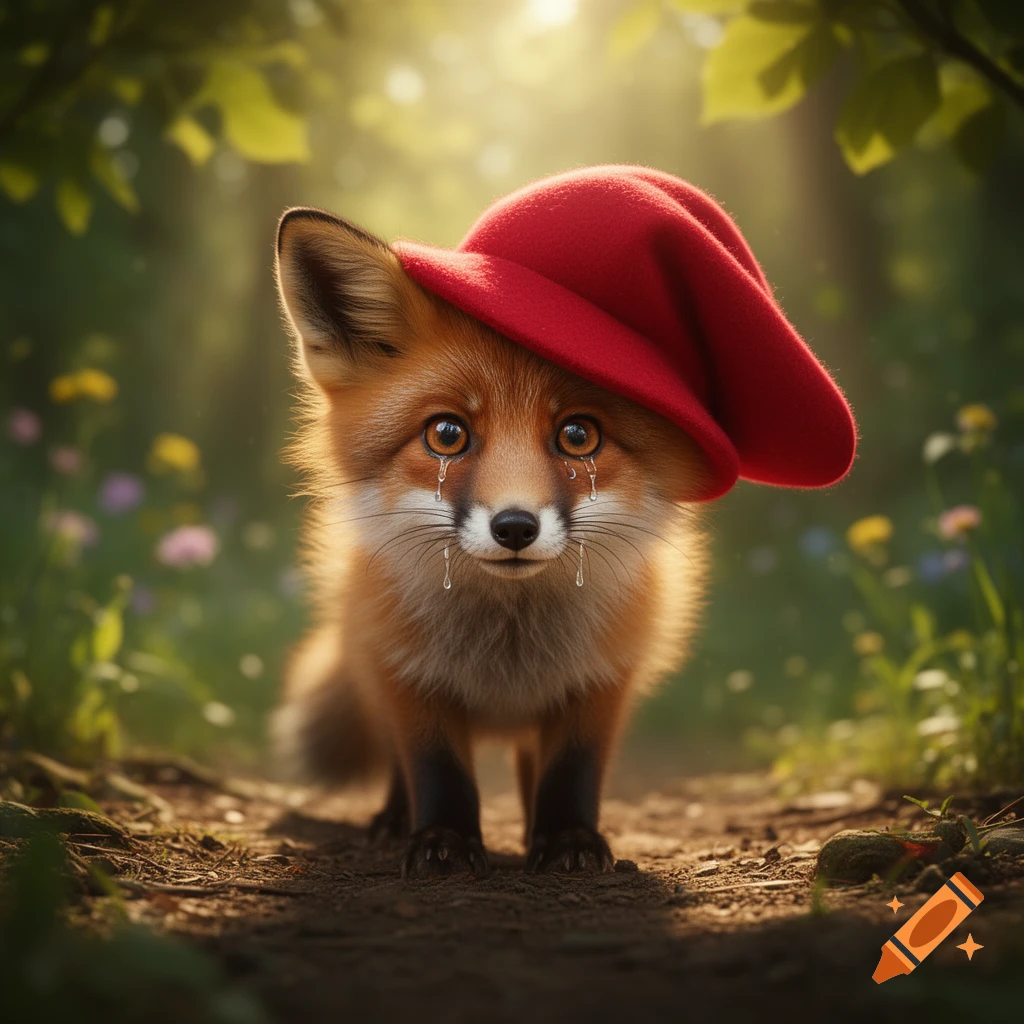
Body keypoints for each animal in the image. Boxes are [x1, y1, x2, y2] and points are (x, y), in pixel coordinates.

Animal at [270, 206, 712, 878]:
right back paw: (394, 821)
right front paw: (443, 842)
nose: (515, 528)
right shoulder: (408, 676)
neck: (507, 653)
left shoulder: (600, 682)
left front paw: (569, 840)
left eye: (578, 435)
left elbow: (570, 773)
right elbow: (436, 771)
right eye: (447, 433)